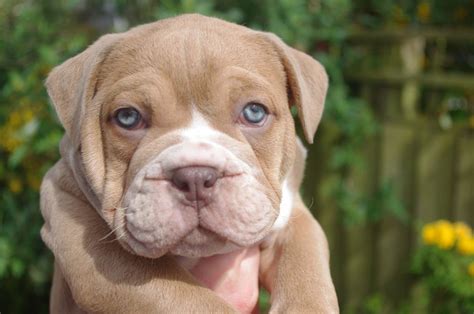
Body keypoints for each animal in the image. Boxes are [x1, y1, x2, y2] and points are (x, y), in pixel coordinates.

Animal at [39, 14, 336, 314]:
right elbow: (193, 300)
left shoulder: (296, 218)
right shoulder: (91, 246)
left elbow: (306, 272)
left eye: (254, 112)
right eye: (127, 117)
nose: (195, 176)